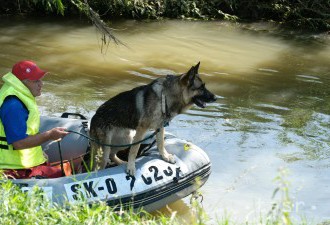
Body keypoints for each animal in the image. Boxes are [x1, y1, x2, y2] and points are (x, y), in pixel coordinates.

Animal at [89, 62, 217, 176]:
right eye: (201, 88)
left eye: (204, 86)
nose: (216, 98)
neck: (165, 98)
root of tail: (94, 117)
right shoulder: (141, 130)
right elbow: (134, 150)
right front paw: (131, 167)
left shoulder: (160, 128)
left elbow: (161, 144)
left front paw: (165, 156)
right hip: (106, 150)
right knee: (100, 166)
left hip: (126, 140)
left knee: (112, 155)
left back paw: (121, 163)